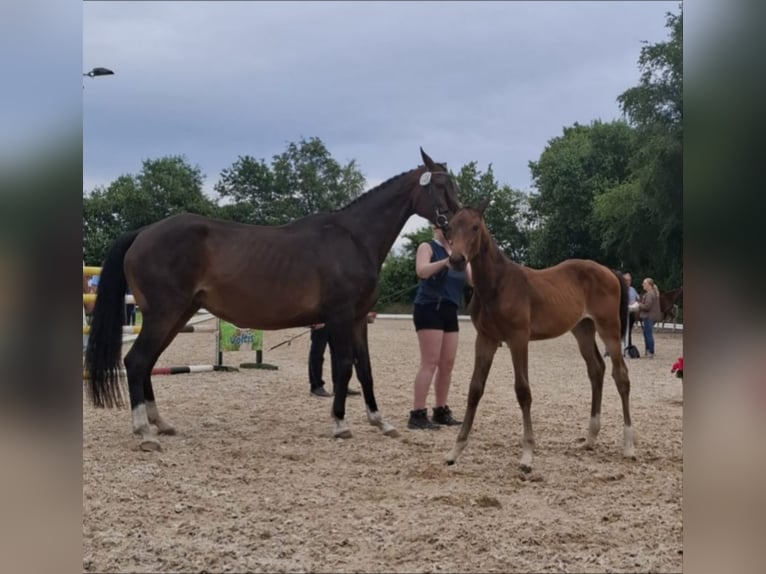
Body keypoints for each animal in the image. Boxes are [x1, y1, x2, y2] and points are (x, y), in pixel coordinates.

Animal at [84, 148, 462, 451]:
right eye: (440, 187)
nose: (456, 225)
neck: (353, 239)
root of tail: (142, 233)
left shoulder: (358, 319)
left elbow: (365, 368)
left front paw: (380, 421)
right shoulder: (338, 317)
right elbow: (343, 367)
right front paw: (340, 424)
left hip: (177, 317)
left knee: (147, 362)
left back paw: (160, 424)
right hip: (164, 315)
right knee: (135, 361)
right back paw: (144, 432)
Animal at [442, 200, 635, 473]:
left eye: (475, 227)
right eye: (449, 227)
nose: (457, 260)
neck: (497, 285)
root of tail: (609, 271)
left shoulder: (518, 339)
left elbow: (523, 391)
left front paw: (527, 455)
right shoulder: (486, 339)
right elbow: (475, 389)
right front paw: (455, 451)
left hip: (609, 328)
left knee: (621, 376)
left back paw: (628, 446)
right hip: (583, 329)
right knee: (596, 369)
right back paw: (590, 439)